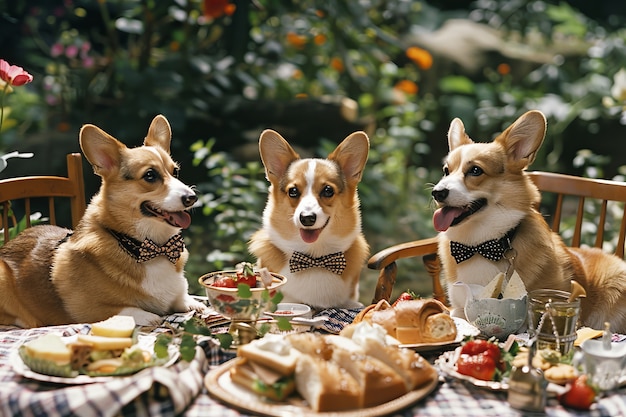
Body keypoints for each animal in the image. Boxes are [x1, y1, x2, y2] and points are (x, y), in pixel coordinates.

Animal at [0, 115, 207, 326]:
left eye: (175, 172)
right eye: (150, 175)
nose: (192, 198)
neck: (151, 247)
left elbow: (185, 298)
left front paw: (195, 304)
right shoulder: (86, 311)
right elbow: (129, 310)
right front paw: (151, 317)